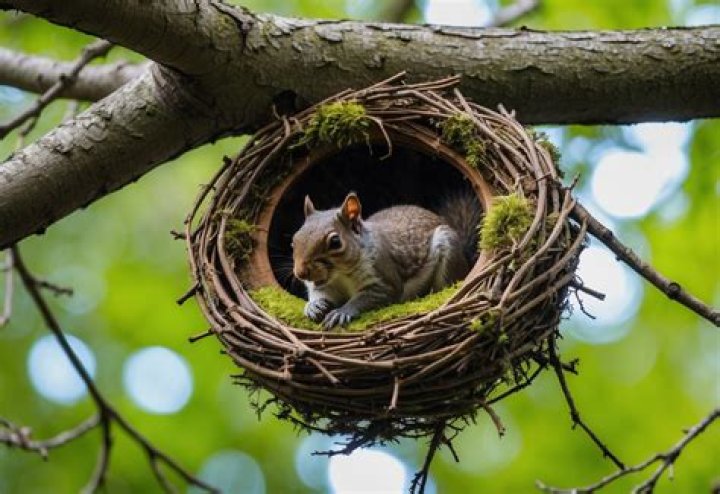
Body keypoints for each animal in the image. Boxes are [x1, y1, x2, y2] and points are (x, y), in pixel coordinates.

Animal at [291, 191, 479, 328]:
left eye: (335, 242)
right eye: (294, 240)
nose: (300, 273)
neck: (340, 275)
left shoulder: (383, 278)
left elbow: (367, 297)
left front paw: (343, 311)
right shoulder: (324, 285)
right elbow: (320, 292)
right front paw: (313, 306)